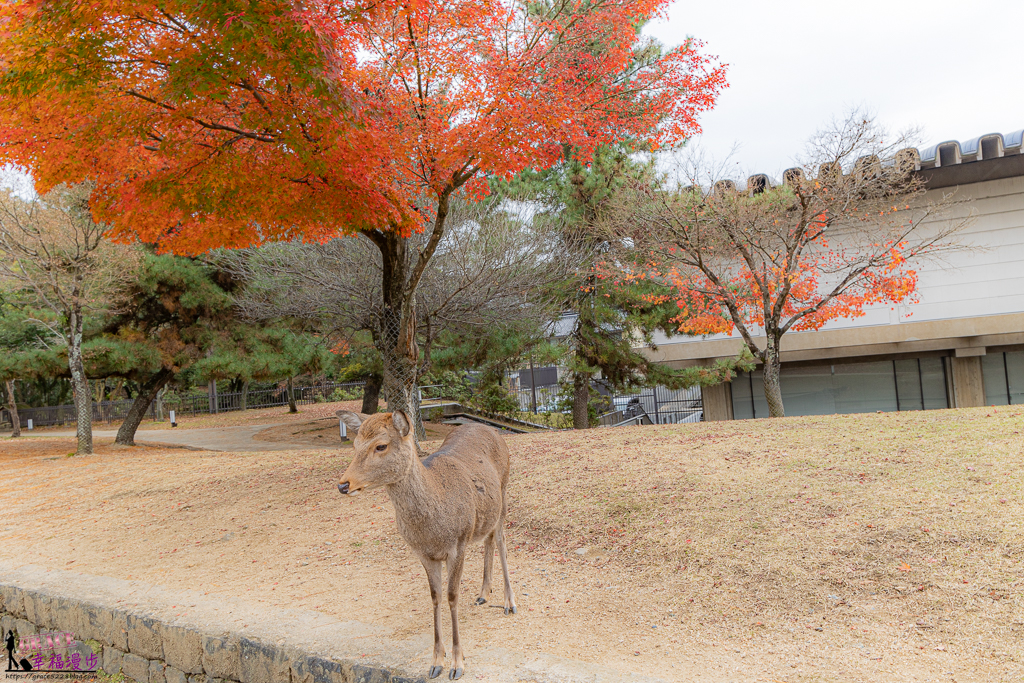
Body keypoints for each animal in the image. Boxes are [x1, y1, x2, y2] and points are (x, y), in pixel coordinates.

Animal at [336, 410, 517, 681]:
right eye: (355, 444)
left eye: (381, 445)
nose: (343, 484)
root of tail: (490, 429)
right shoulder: (423, 554)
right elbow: (435, 597)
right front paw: (436, 662)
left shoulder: (458, 544)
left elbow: (452, 597)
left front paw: (457, 664)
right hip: (486, 511)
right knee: (489, 537)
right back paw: (484, 593)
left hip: (504, 491)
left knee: (502, 540)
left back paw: (509, 602)